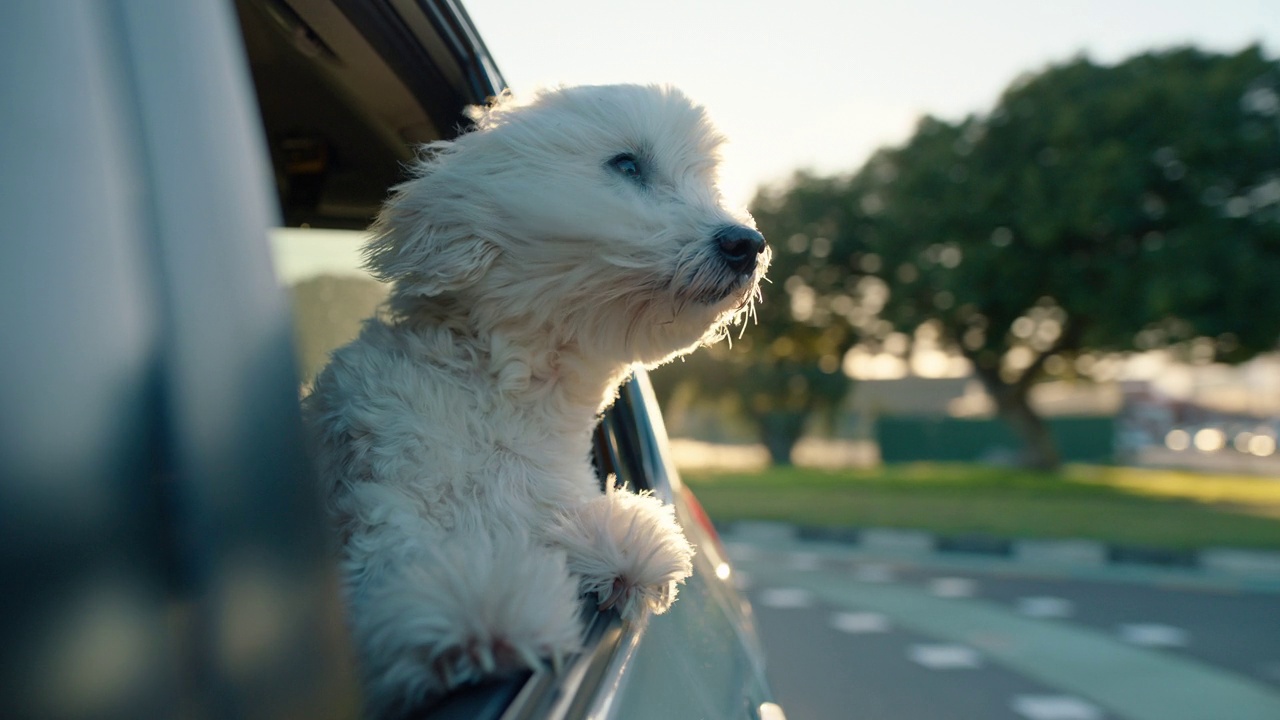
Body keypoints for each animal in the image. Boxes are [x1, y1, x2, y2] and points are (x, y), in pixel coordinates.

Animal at [304, 82, 762, 712]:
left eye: (706, 179)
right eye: (627, 165)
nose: (749, 243)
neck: (515, 394)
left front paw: (616, 544)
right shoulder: (380, 493)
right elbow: (399, 552)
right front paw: (472, 616)